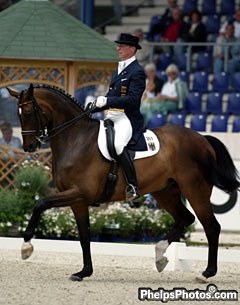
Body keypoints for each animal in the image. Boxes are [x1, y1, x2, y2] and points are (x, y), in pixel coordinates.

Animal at [6, 83, 239, 282]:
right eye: (17, 115)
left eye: (28, 113)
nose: (29, 147)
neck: (76, 139)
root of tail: (202, 138)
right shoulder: (78, 200)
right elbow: (84, 236)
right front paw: (84, 272)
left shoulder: (80, 193)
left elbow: (40, 204)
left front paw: (26, 248)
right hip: (165, 191)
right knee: (185, 218)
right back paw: (160, 256)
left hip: (195, 190)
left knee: (211, 227)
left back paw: (206, 273)